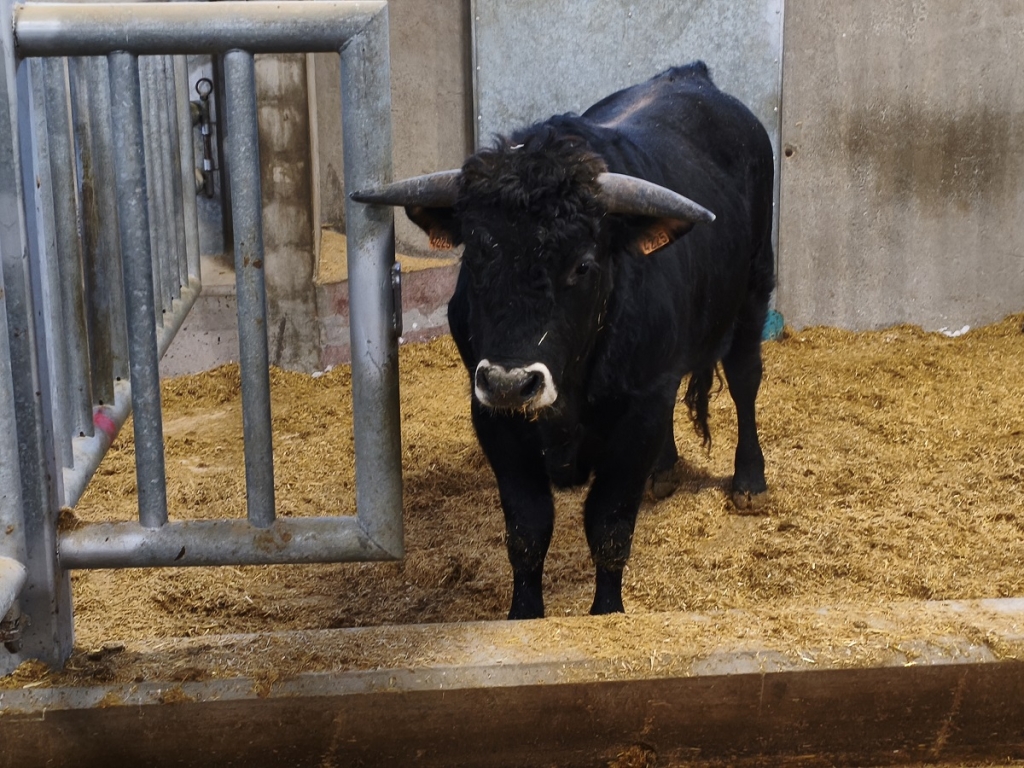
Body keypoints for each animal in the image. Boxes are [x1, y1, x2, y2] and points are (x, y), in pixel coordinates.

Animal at [352, 62, 775, 620]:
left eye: (583, 264)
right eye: (476, 253)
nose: (511, 383)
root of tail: (691, 76)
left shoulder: (638, 412)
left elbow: (610, 526)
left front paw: (607, 612)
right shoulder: (493, 417)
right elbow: (528, 529)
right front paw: (524, 615)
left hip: (755, 289)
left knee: (746, 379)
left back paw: (750, 481)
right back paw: (664, 472)